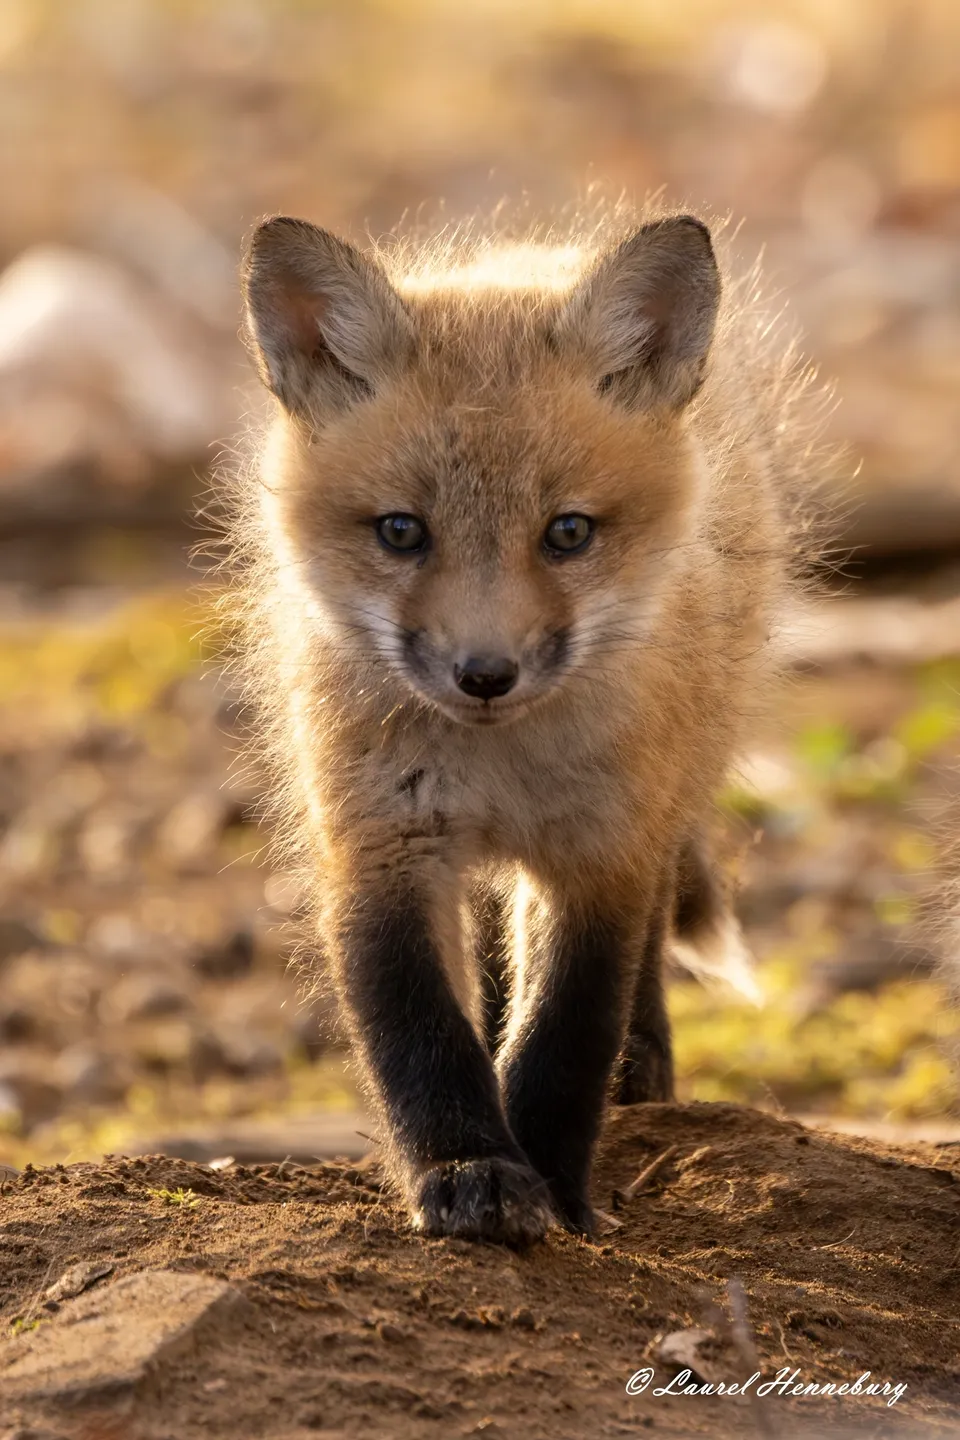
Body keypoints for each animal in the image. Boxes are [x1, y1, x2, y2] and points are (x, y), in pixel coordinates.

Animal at [233, 208, 829, 1244]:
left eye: (568, 533)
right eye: (401, 532)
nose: (485, 675)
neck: (497, 764)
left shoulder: (601, 851)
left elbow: (567, 1031)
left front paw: (555, 1180)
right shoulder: (380, 846)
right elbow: (420, 1028)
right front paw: (468, 1169)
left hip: (673, 789)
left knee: (633, 949)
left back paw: (642, 1066)